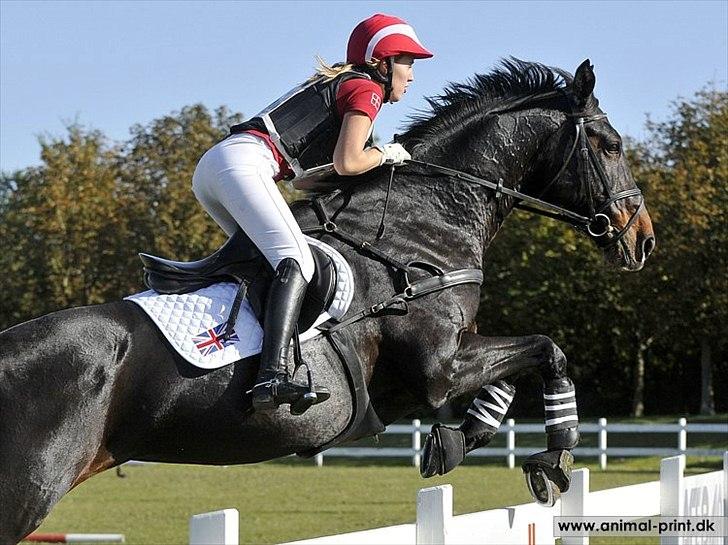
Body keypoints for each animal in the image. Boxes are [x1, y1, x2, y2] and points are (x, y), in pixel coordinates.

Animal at [0, 57, 656, 540]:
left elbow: (513, 374)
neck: (422, 223)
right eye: (608, 144)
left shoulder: (448, 360)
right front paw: (553, 461)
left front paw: (456, 440)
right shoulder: (436, 368)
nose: (641, 238)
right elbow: (547, 349)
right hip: (25, 493)